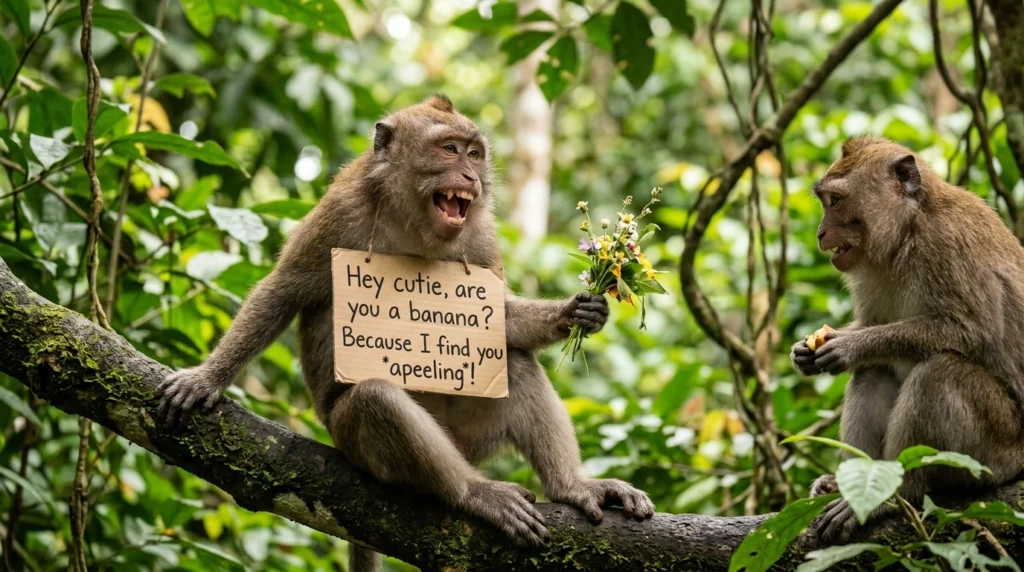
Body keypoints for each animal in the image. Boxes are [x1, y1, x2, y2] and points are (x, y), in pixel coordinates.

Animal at [155, 95, 654, 571]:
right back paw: (474, 494)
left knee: (514, 361)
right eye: (450, 149)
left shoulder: (481, 234)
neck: (411, 220)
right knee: (376, 399)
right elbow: (282, 292)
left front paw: (576, 312)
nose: (471, 175)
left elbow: (498, 321)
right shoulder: (338, 214)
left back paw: (572, 487)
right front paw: (206, 379)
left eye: (475, 154)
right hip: (354, 443)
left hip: (471, 435)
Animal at [789, 135, 1024, 544]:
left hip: (1001, 451)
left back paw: (895, 496)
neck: (907, 235)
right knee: (872, 373)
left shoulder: (948, 245)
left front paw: (851, 346)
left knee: (940, 372)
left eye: (835, 201)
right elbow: (869, 326)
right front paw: (805, 351)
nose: (820, 233)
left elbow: (973, 330)